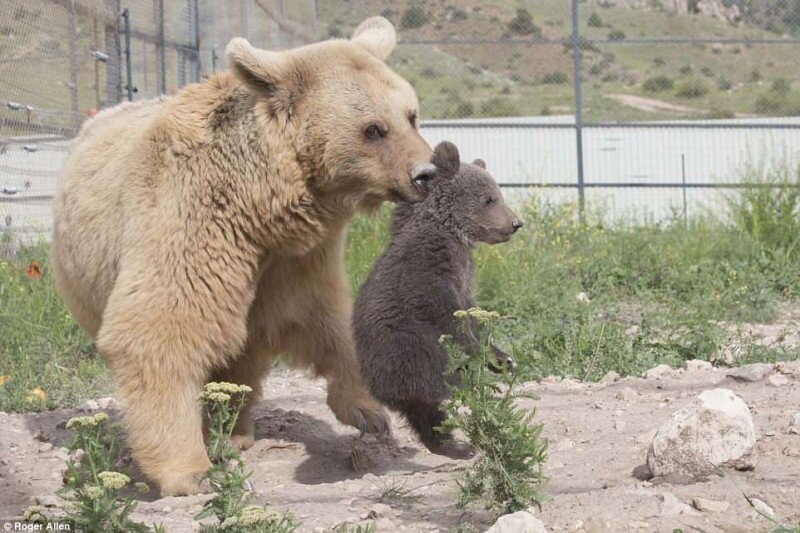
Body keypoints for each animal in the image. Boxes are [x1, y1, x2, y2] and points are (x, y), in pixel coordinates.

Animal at [52, 18, 434, 496]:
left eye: (411, 115)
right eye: (373, 129)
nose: (426, 173)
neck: (260, 205)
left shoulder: (298, 256)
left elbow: (323, 317)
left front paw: (369, 411)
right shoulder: (189, 216)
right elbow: (159, 328)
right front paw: (188, 470)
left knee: (245, 349)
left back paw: (235, 431)